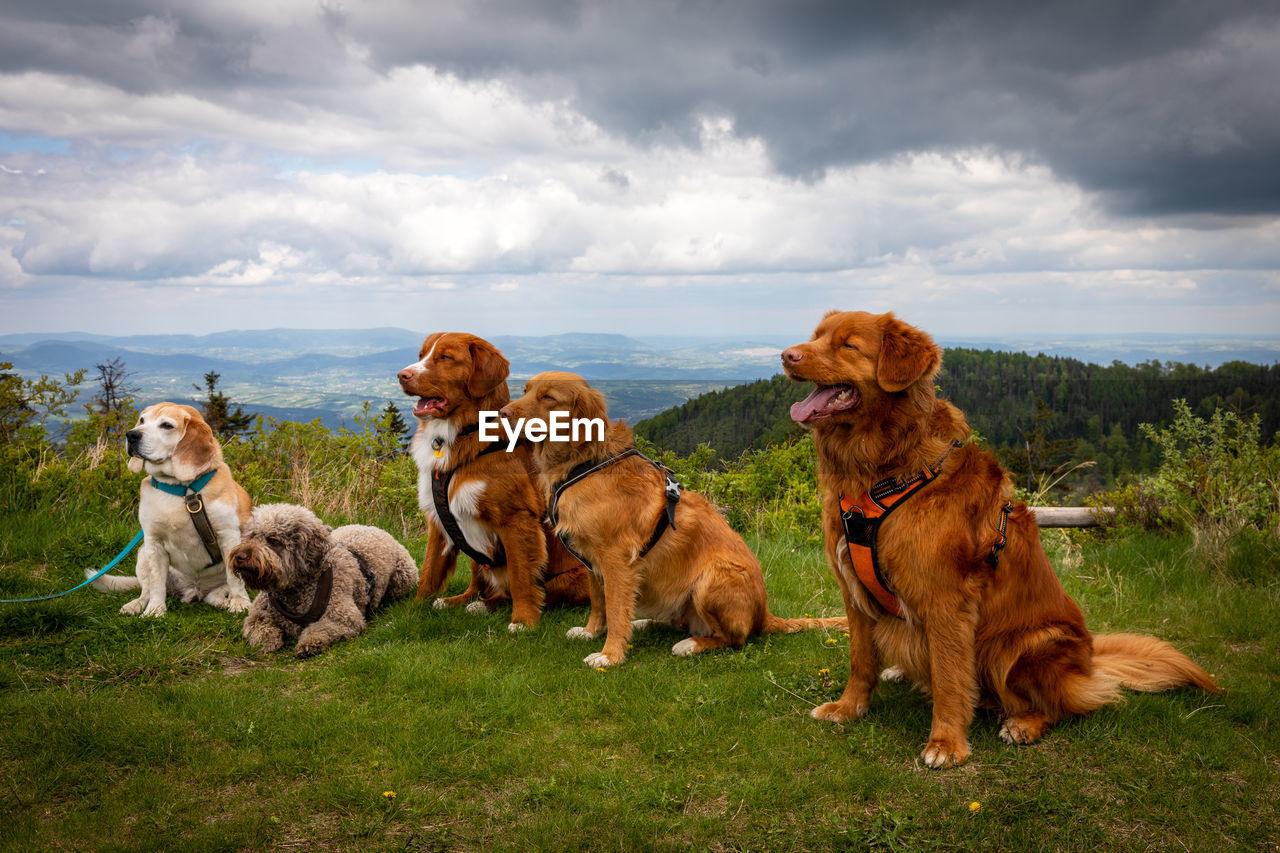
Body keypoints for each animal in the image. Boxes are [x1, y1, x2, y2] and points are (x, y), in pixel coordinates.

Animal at [90, 402, 252, 614]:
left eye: (166, 425)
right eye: (142, 420)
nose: (131, 435)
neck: (181, 489)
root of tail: (195, 589)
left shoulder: (229, 536)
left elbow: (234, 578)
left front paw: (240, 602)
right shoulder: (154, 542)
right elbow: (157, 582)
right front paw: (155, 610)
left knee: (215, 593)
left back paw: (223, 600)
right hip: (142, 553)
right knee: (146, 589)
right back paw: (136, 605)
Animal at [225, 502, 414, 653]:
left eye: (274, 540)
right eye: (251, 536)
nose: (240, 556)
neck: (293, 590)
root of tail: (373, 528)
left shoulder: (343, 617)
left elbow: (321, 627)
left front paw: (309, 642)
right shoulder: (257, 614)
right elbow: (259, 625)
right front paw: (268, 640)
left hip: (404, 576)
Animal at [394, 327, 588, 627]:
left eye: (446, 357)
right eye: (421, 355)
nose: (402, 375)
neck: (463, 434)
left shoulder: (516, 520)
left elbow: (521, 577)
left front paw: (523, 621)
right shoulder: (438, 520)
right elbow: (429, 571)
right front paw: (414, 612)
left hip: (572, 578)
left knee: (526, 591)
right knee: (478, 584)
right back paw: (461, 601)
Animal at [778, 308, 1218, 768]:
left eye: (847, 345)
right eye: (816, 337)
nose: (787, 355)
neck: (883, 472)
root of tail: (1089, 661)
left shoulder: (946, 600)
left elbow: (950, 679)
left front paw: (946, 743)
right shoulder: (854, 591)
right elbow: (860, 660)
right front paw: (849, 708)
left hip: (1023, 645)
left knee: (1065, 703)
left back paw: (1025, 723)